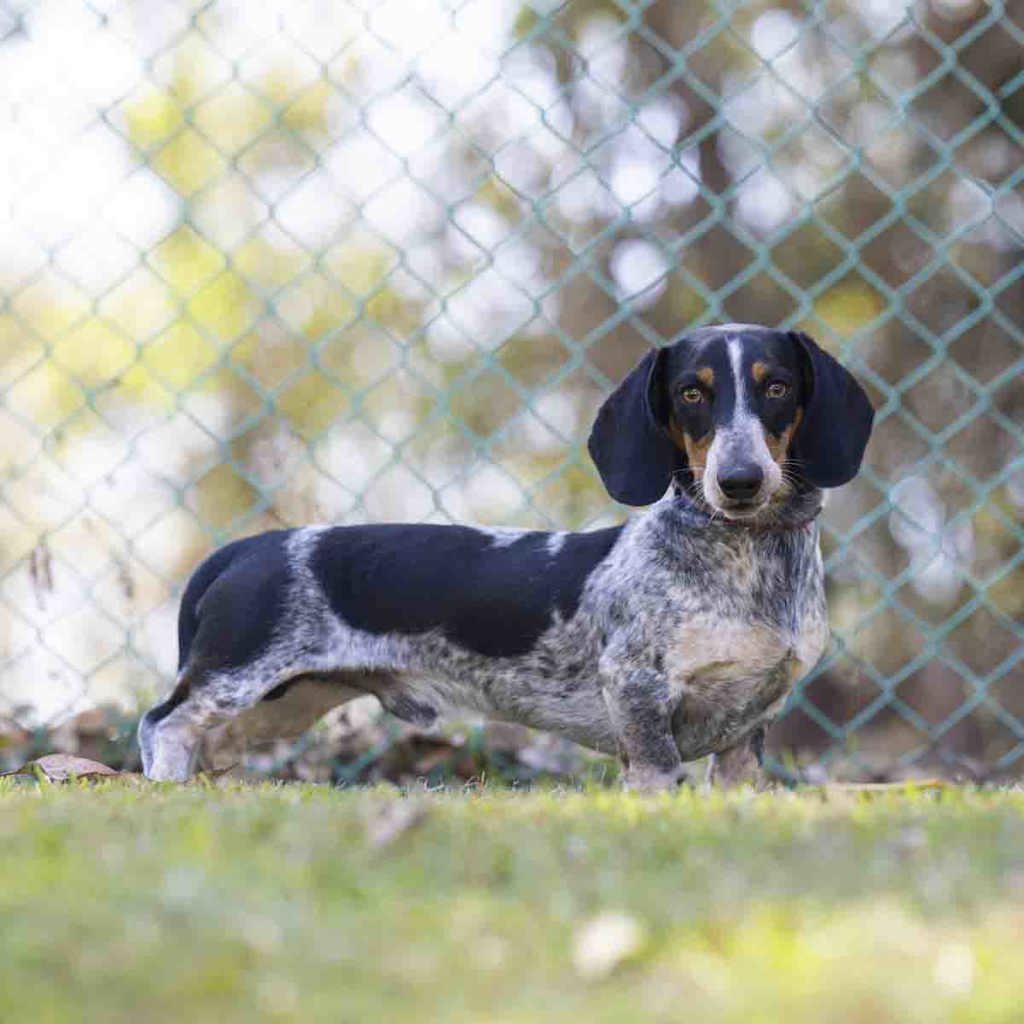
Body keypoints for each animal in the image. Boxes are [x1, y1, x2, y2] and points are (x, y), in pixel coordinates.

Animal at [139, 324, 873, 788]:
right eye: (692, 393)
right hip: (237, 679)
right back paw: (165, 789)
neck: (745, 557)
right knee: (162, 725)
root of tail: (247, 548)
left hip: (285, 702)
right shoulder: (637, 692)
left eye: (776, 387)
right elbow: (656, 775)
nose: (740, 480)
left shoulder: (751, 722)